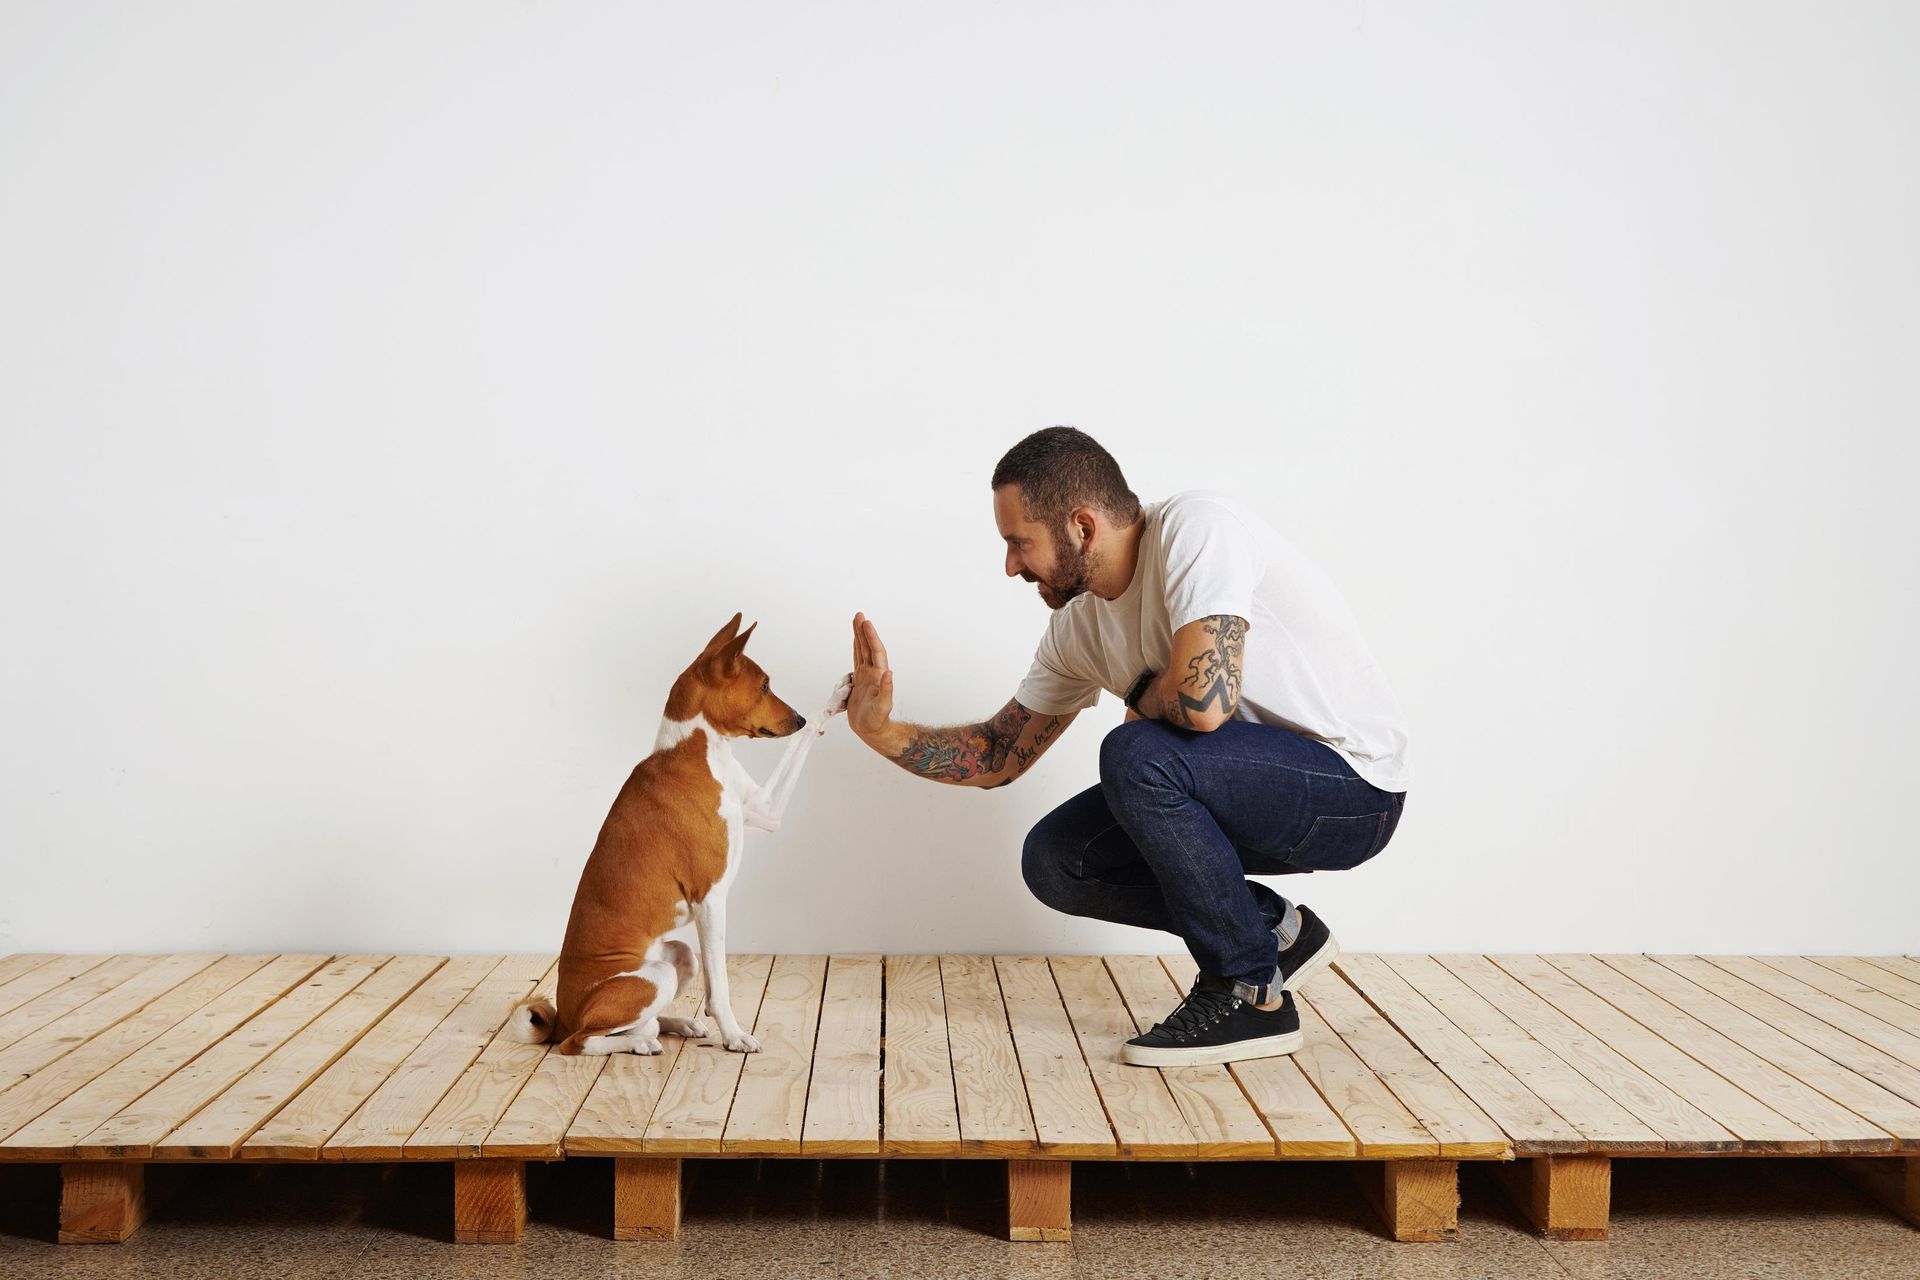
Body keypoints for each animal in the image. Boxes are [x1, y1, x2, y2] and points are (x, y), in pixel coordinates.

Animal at [506, 614, 844, 1059]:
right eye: (765, 685)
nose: (799, 718)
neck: (702, 753)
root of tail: (563, 1014)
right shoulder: (710, 900)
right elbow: (720, 987)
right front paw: (734, 1035)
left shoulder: (767, 811)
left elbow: (803, 745)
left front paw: (839, 696)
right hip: (654, 977)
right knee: (581, 1041)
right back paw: (641, 1043)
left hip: (679, 956)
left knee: (639, 1020)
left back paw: (678, 1024)